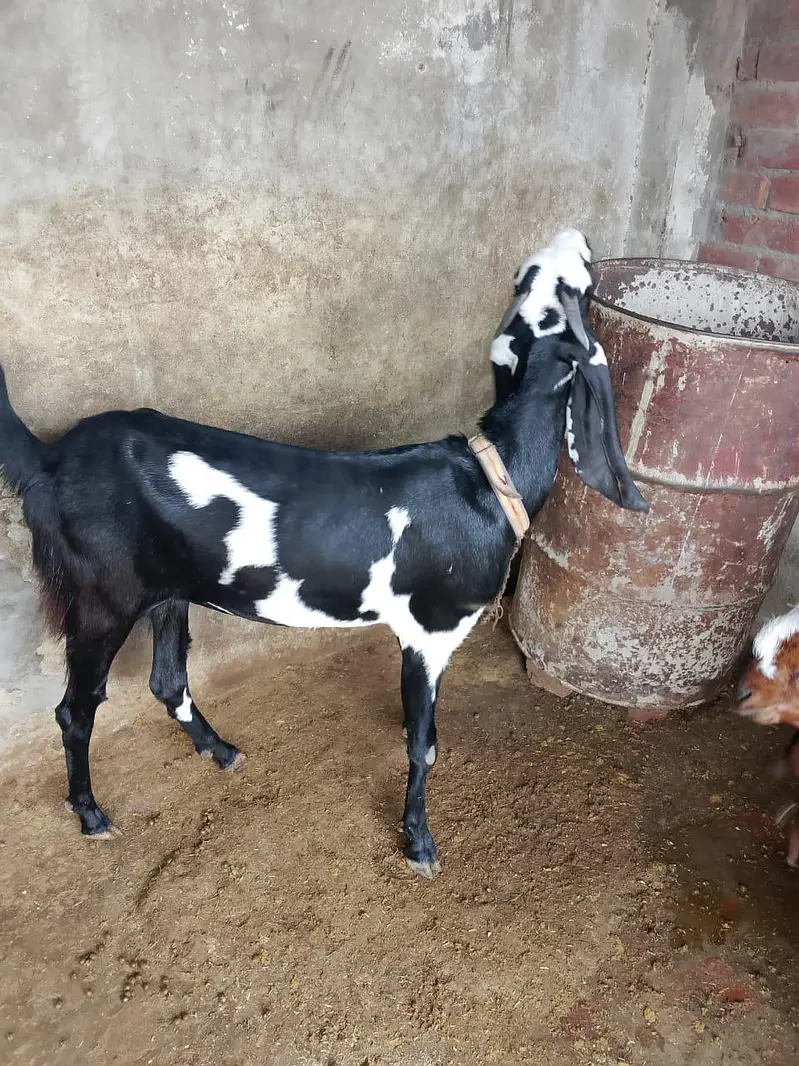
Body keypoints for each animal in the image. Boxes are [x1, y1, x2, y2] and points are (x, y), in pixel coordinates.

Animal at [0, 229, 647, 877]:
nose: (575, 236)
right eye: (579, 288)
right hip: (101, 598)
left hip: (166, 589)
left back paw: (221, 750)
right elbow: (423, 745)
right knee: (76, 710)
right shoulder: (430, 630)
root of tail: (50, 459)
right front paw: (418, 844)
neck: (492, 476)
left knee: (167, 680)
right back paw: (91, 815)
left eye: (544, 276)